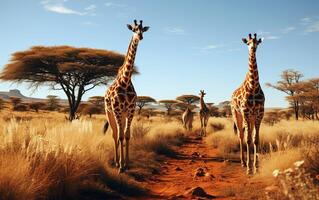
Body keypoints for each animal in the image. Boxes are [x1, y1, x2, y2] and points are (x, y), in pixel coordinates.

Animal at [104, 20, 151, 173]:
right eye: (134, 29)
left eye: (142, 29)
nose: (140, 37)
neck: (125, 80)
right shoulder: (117, 110)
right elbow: (120, 136)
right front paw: (121, 166)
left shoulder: (130, 110)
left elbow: (127, 135)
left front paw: (128, 163)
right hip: (109, 112)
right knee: (114, 134)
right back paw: (116, 162)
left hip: (123, 114)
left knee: (122, 134)